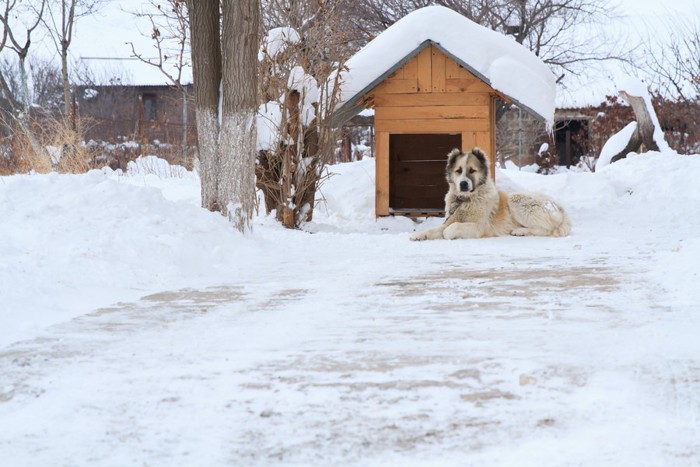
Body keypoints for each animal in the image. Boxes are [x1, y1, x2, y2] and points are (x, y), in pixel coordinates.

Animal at [410, 148, 568, 241]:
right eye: (458, 171)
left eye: (472, 170)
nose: (463, 184)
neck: (466, 200)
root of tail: (560, 207)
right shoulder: (450, 219)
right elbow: (434, 229)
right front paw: (419, 235)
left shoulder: (480, 227)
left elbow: (451, 229)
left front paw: (448, 234)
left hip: (516, 201)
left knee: (546, 229)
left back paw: (520, 231)